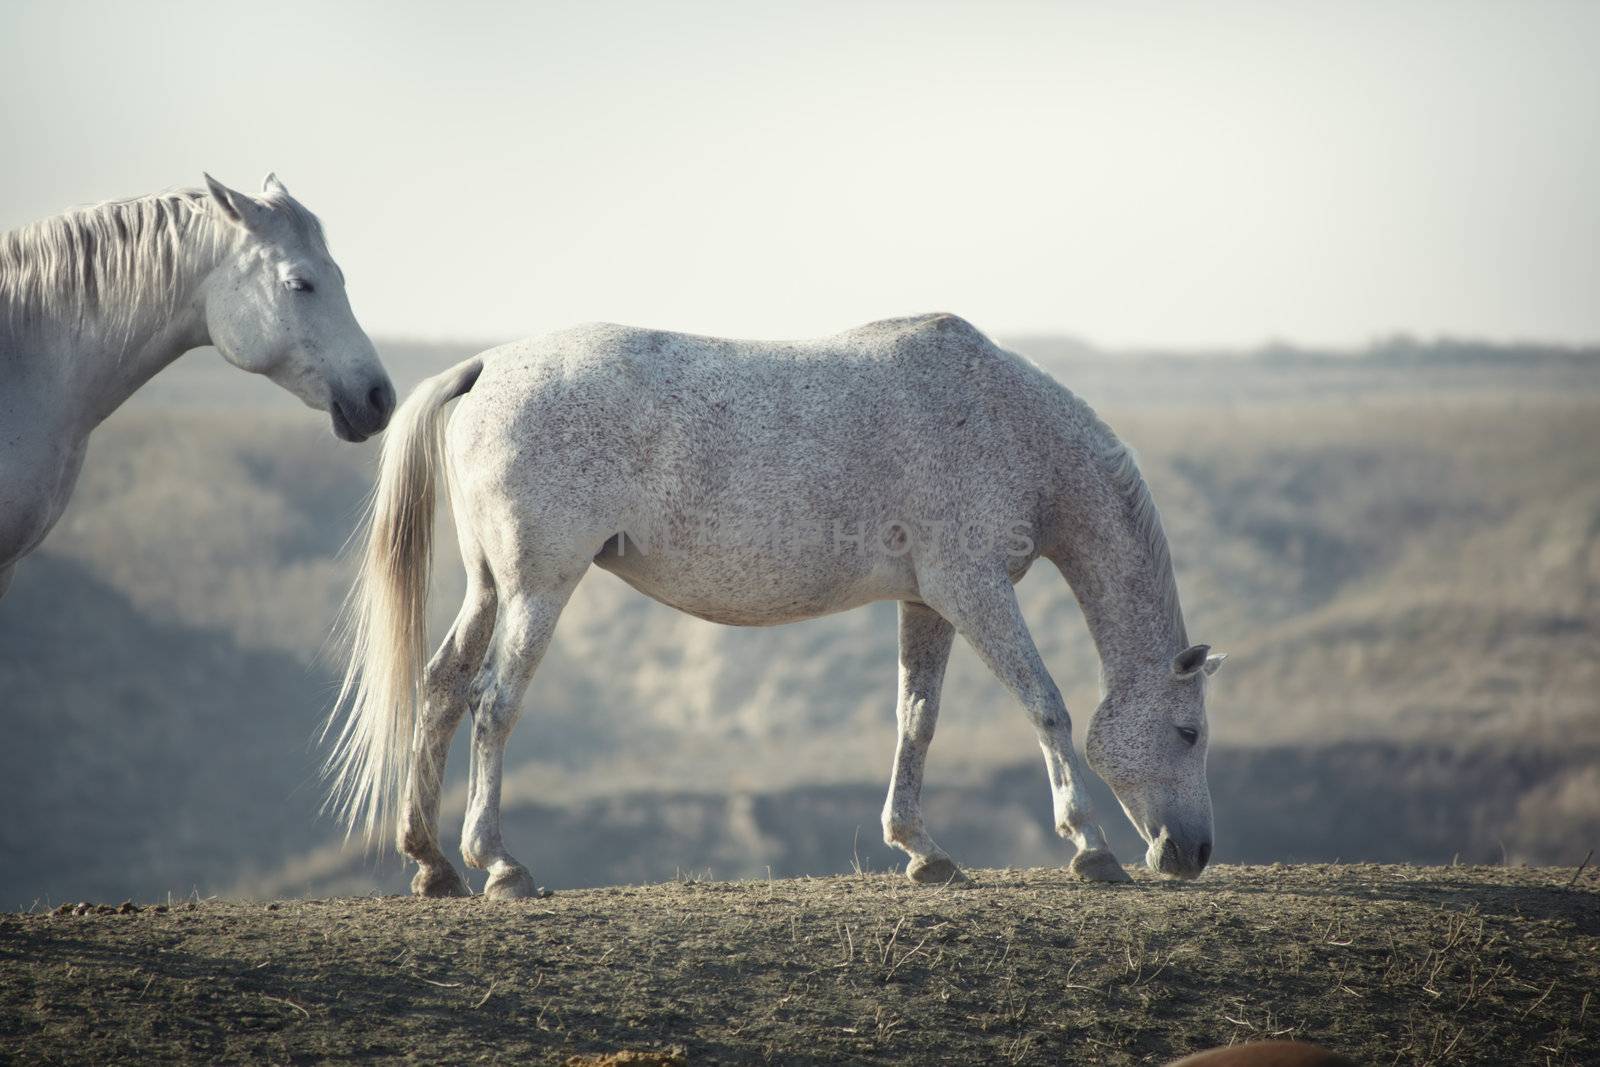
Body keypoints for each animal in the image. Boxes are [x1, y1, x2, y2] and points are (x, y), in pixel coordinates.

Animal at [328, 313, 1222, 895]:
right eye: (1189, 731)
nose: (1193, 852)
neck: (1006, 419)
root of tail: (484, 366)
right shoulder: (975, 590)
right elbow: (1046, 703)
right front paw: (1091, 845)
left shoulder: (929, 602)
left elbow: (917, 719)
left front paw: (921, 847)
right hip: (539, 590)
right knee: (494, 704)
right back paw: (500, 864)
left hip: (490, 588)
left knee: (443, 688)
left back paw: (432, 860)